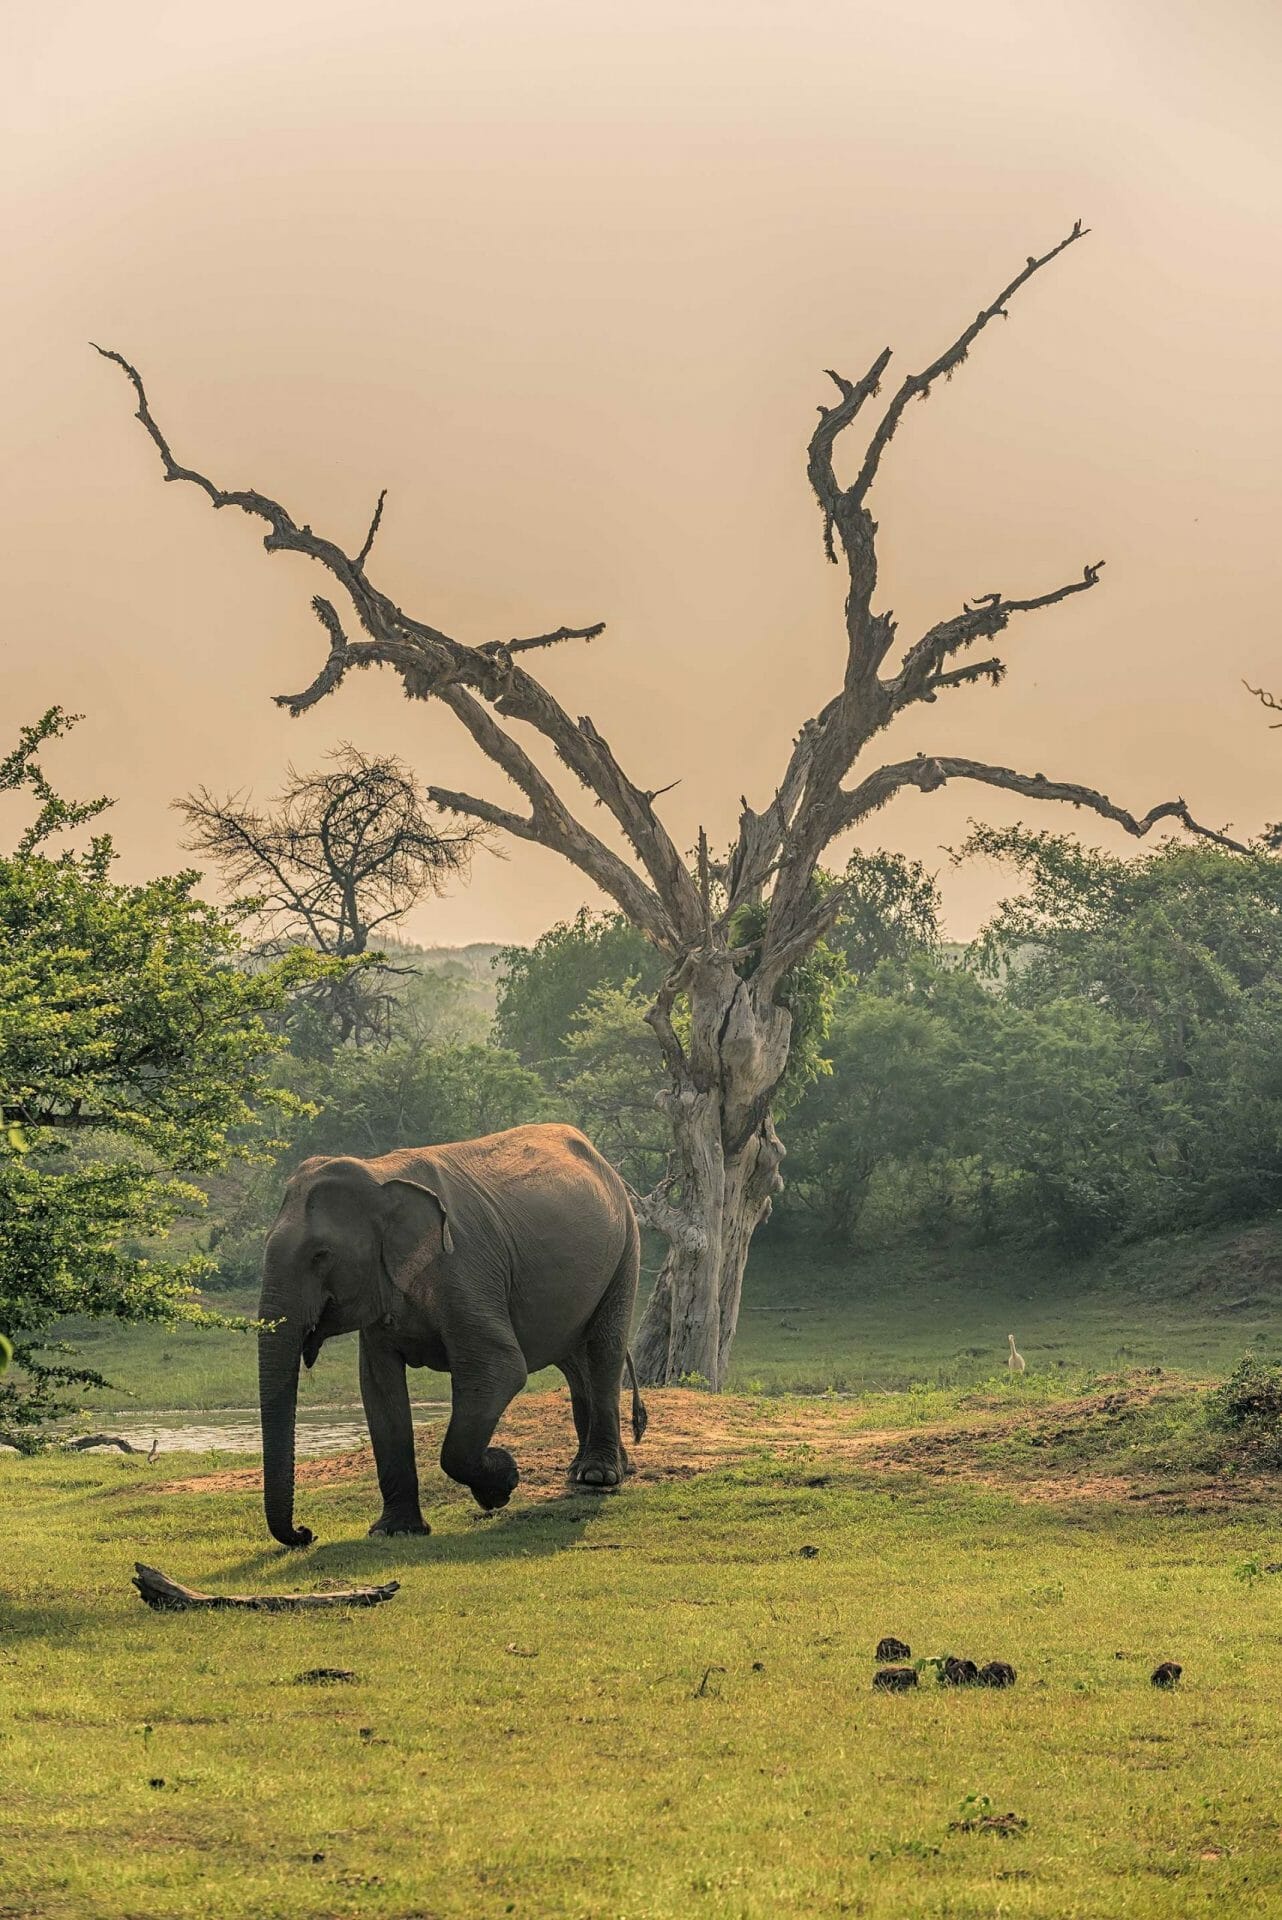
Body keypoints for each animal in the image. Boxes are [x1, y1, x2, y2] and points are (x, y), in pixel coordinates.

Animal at [257, 1121, 652, 1543]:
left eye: (321, 1255)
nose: (306, 1532)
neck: (380, 1173)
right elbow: (379, 1389)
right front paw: (395, 1531)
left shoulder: (464, 1270)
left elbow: (499, 1369)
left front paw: (501, 1481)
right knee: (576, 1364)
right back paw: (589, 1470)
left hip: (626, 1249)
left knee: (604, 1350)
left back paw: (597, 1476)